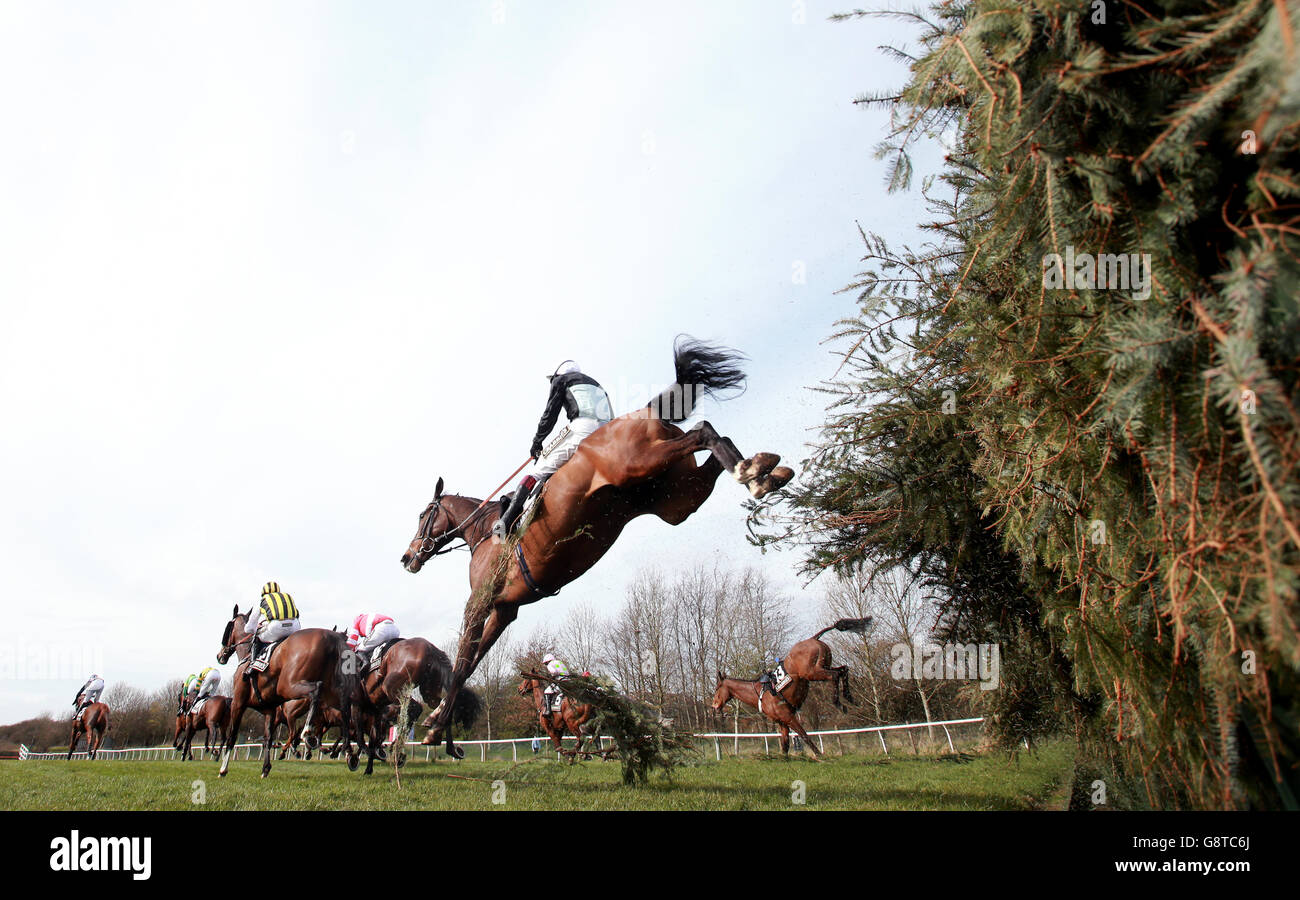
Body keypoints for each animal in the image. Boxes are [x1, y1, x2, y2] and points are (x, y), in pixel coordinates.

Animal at [214, 608, 358, 775]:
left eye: (227, 628)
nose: (220, 655)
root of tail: (331, 639)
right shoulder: (270, 709)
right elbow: (267, 738)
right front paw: (266, 768)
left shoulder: (238, 702)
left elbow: (232, 736)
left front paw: (223, 769)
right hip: (331, 692)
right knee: (344, 709)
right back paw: (347, 753)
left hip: (288, 687)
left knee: (316, 692)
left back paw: (308, 735)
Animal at [403, 332, 790, 754]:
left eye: (422, 515)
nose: (407, 556)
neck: (483, 532)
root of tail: (647, 412)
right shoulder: (506, 609)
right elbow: (471, 662)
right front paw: (440, 722)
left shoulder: (482, 601)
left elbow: (461, 663)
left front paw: (436, 725)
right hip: (677, 499)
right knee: (713, 446)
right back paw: (761, 472)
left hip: (639, 462)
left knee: (701, 430)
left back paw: (755, 470)